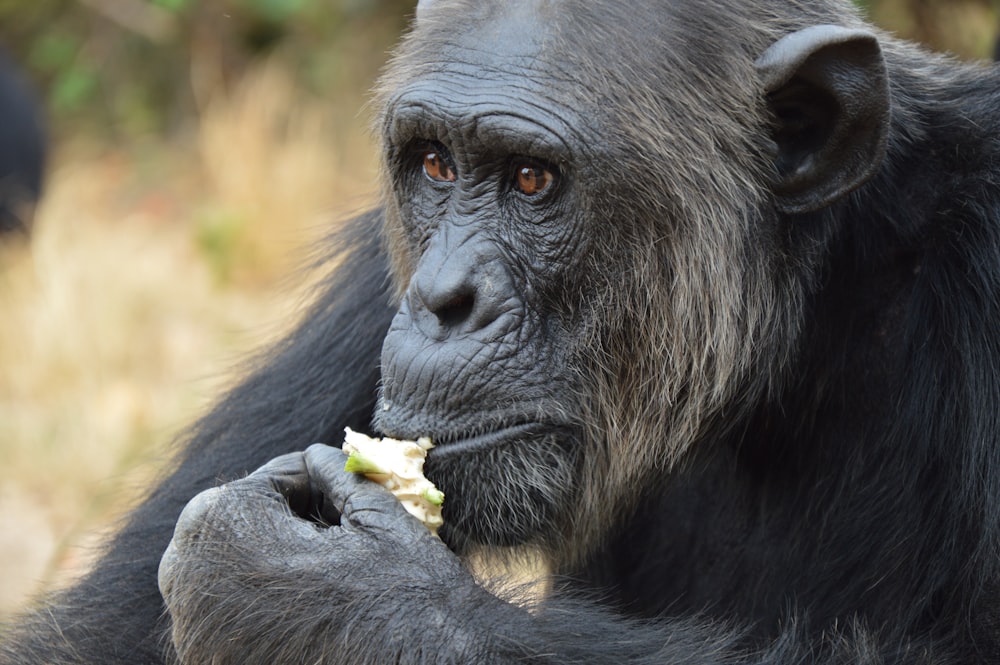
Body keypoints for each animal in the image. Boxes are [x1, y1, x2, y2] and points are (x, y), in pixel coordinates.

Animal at [1, 0, 1000, 660]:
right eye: (435, 164)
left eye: (530, 178)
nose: (444, 296)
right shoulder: (374, 276)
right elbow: (94, 635)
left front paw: (317, 588)